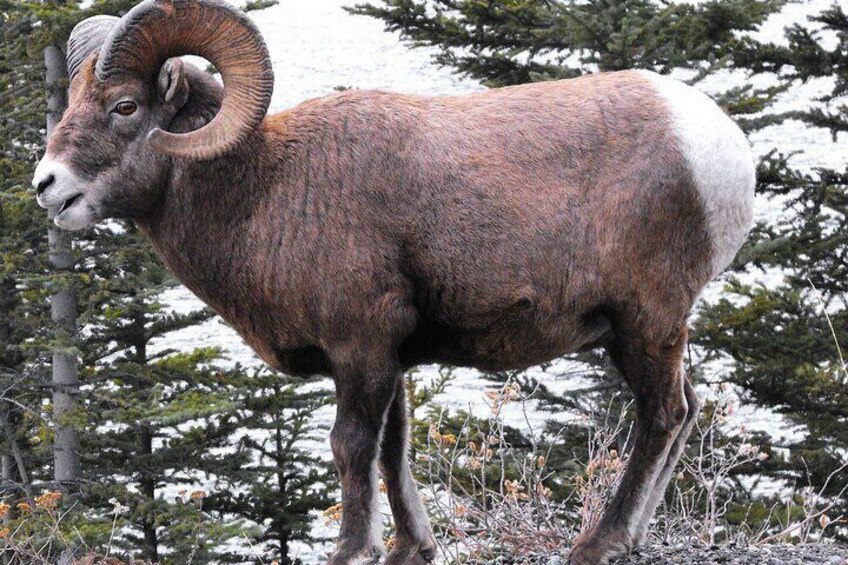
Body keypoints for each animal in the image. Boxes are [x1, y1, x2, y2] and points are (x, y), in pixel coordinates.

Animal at [31, 0, 756, 563]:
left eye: (125, 106)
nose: (48, 187)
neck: (266, 190)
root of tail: (724, 147)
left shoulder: (359, 348)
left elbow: (353, 447)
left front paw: (354, 549)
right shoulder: (390, 356)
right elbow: (393, 449)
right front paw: (413, 546)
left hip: (644, 321)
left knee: (663, 413)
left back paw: (600, 543)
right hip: (651, 330)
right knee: (686, 409)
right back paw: (631, 538)